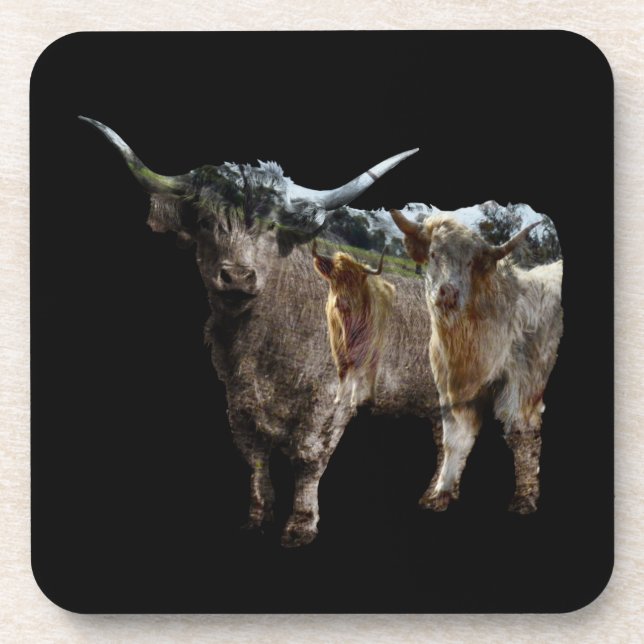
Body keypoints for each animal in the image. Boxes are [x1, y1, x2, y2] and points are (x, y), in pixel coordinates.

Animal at [312, 242, 395, 407]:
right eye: (334, 278)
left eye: (355, 281)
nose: (342, 302)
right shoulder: (337, 345)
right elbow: (342, 371)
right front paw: (338, 398)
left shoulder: (364, 347)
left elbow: (358, 372)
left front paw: (354, 401)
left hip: (377, 346)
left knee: (372, 370)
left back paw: (371, 398)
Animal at [390, 207, 563, 514]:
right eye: (433, 253)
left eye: (470, 262)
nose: (447, 292)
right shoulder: (453, 390)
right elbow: (454, 438)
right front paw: (441, 491)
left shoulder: (524, 388)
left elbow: (523, 436)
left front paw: (525, 498)